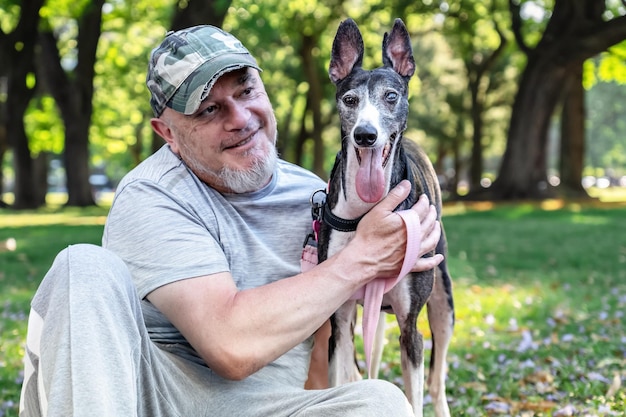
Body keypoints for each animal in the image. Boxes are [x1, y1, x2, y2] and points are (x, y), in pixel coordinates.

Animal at [316, 17, 454, 414]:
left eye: (391, 96)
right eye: (350, 100)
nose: (365, 135)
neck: (368, 213)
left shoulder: (411, 328)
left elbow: (415, 397)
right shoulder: (340, 322)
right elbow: (342, 381)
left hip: (443, 303)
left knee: (437, 382)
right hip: (374, 322)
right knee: (372, 365)